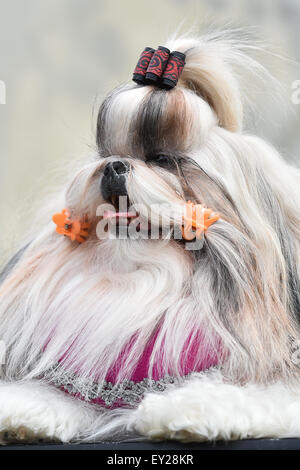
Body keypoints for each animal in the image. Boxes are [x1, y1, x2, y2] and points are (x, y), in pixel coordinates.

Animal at [0, 30, 300, 444]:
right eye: (106, 153)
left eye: (162, 159)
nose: (113, 166)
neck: (150, 283)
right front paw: (21, 411)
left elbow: (249, 392)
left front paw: (185, 410)